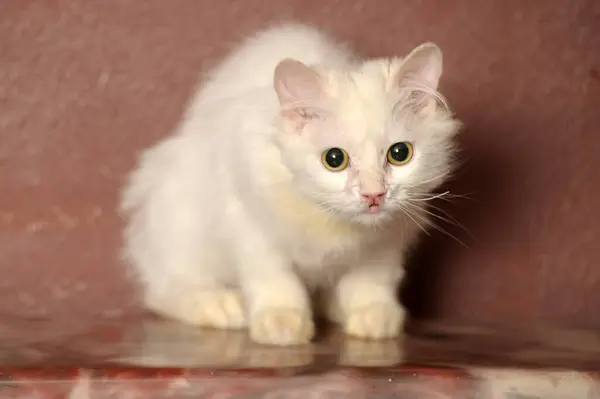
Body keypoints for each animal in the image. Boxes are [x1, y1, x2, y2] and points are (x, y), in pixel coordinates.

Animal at [119, 23, 462, 346]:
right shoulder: (248, 223)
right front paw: (281, 323)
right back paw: (222, 306)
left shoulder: (386, 241)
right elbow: (275, 279)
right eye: (334, 159)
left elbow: (370, 282)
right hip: (178, 221)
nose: (373, 194)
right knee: (164, 290)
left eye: (400, 154)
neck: (329, 223)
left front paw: (374, 317)